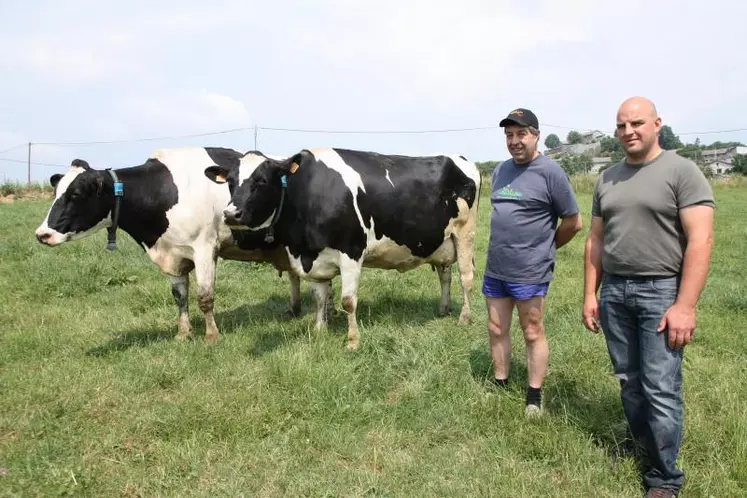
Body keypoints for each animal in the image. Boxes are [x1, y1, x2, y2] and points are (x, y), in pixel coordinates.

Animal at [33, 146, 308, 344]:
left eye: (76, 194)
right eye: (56, 192)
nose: (42, 234)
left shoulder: (205, 248)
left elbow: (205, 296)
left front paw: (212, 336)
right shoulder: (172, 254)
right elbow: (180, 296)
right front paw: (183, 333)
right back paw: (294, 310)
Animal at [203, 147, 480, 350]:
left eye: (261, 181)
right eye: (230, 182)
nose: (231, 214)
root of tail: (462, 159)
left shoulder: (351, 252)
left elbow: (348, 301)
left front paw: (352, 341)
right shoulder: (315, 258)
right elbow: (319, 298)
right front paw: (319, 331)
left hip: (465, 233)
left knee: (466, 278)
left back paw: (464, 318)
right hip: (443, 240)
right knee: (445, 275)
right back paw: (443, 309)